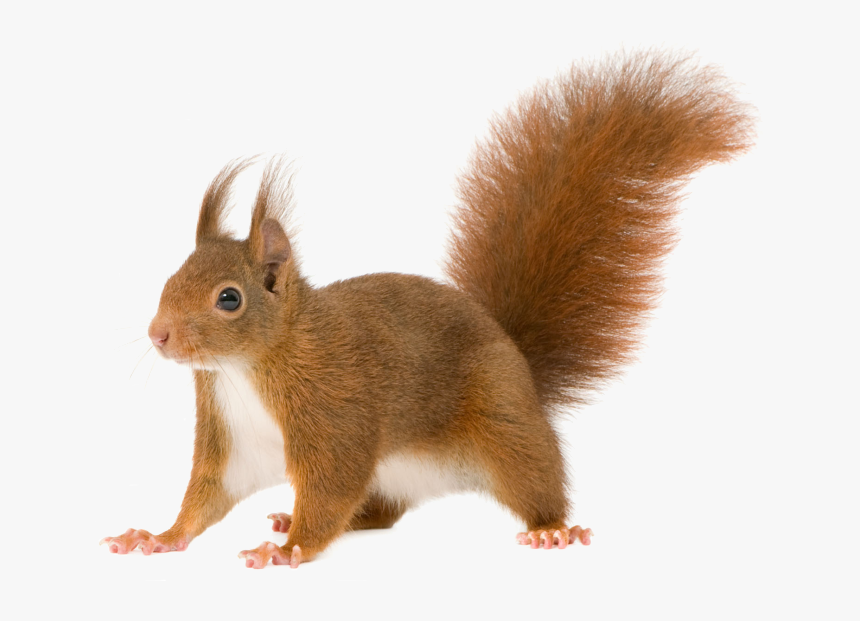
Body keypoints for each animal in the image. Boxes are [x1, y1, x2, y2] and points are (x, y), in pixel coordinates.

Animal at [101, 50, 754, 568]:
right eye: (170, 276)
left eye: (229, 299)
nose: (158, 335)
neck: (247, 369)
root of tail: (518, 360)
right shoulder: (232, 435)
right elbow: (210, 495)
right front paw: (159, 536)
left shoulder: (332, 408)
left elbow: (331, 485)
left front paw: (289, 551)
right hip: (397, 477)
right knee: (379, 513)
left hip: (505, 428)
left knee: (534, 480)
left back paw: (551, 529)